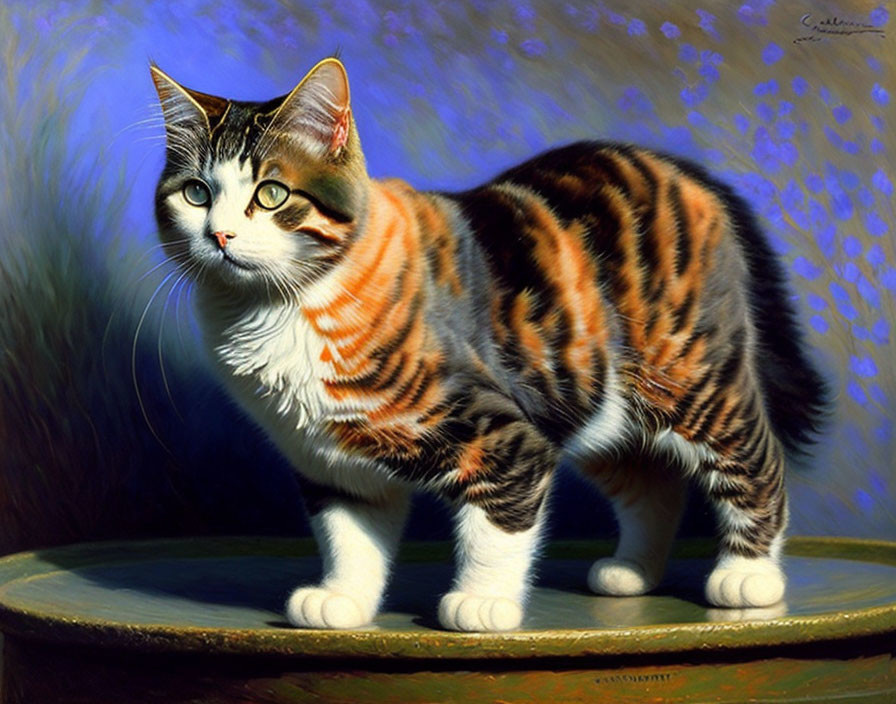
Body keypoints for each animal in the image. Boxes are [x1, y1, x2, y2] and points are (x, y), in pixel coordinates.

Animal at [149, 59, 824, 632]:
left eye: (271, 194)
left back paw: (749, 575)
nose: (220, 235)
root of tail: (677, 167)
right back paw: (630, 572)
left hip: (689, 373)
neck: (280, 308)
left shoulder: (504, 435)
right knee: (653, 484)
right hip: (591, 398)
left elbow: (496, 528)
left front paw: (481, 601)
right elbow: (349, 535)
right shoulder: (331, 461)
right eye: (196, 194)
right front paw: (343, 599)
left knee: (756, 457)